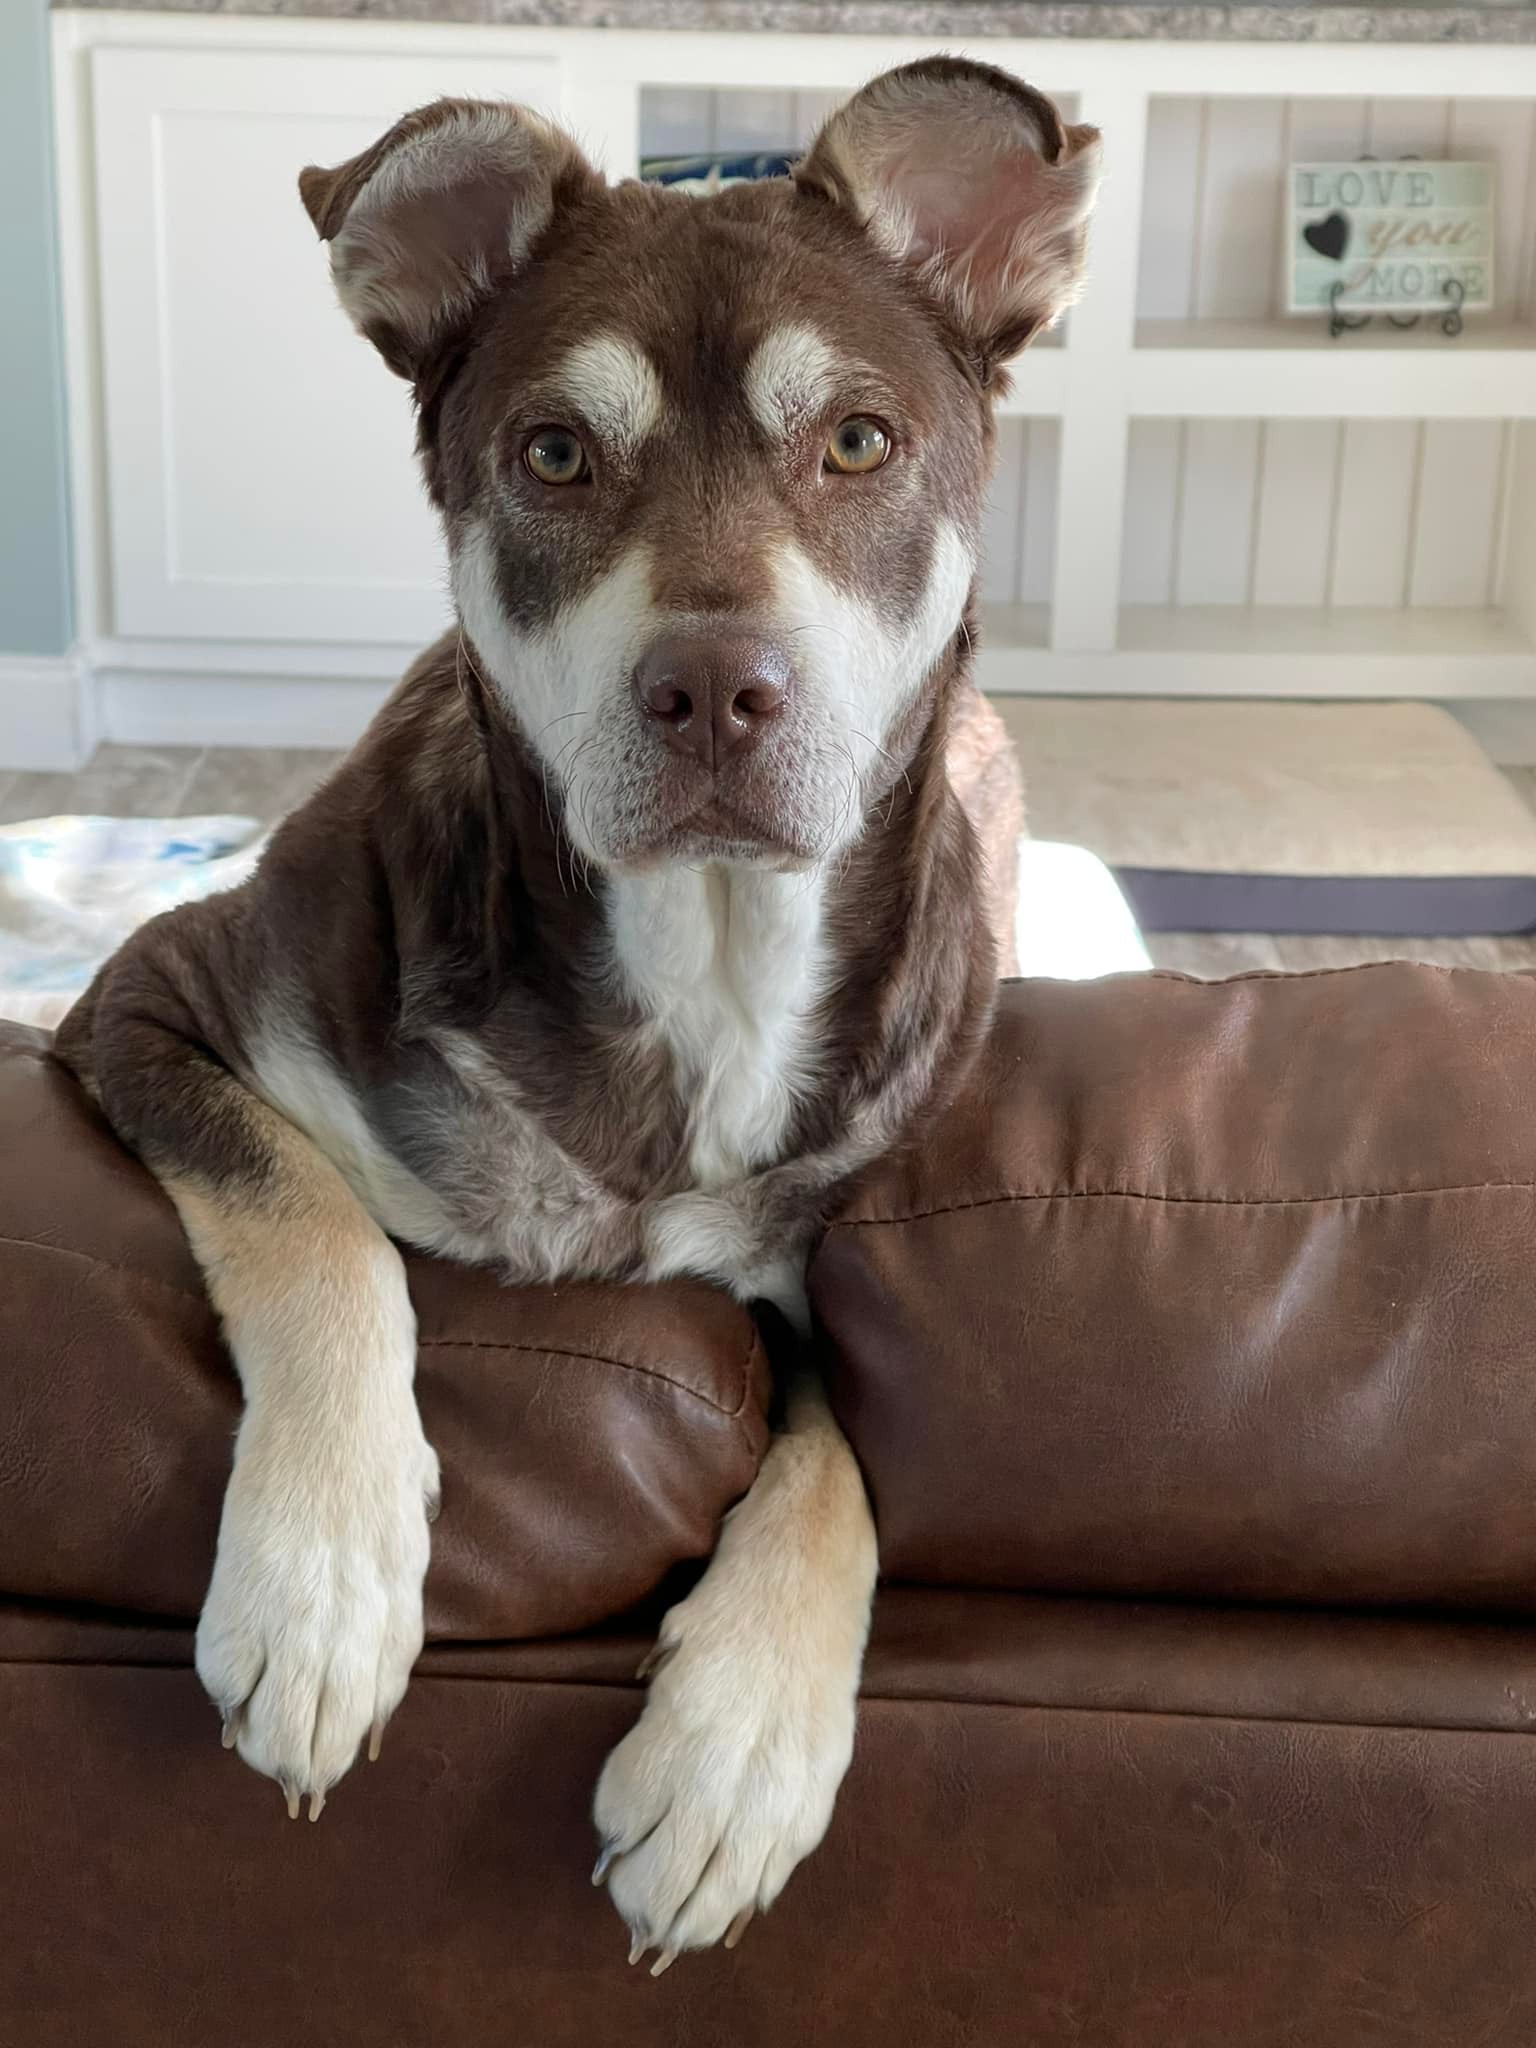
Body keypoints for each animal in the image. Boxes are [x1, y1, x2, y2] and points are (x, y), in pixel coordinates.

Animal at [54, 59, 1097, 1966]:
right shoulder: (155, 1003)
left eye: (858, 442)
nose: (714, 690)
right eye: (553, 453)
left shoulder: (815, 1260)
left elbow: (844, 1460)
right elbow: (317, 1223)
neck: (698, 975)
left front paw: (734, 1754)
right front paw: (323, 1582)